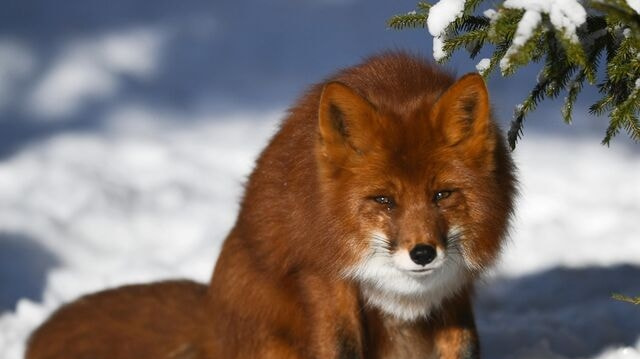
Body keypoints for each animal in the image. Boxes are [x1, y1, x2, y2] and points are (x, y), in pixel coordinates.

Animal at [26, 51, 516, 359]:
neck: (404, 295)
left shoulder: (454, 288)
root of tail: (211, 315)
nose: (422, 253)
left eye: (441, 195)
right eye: (384, 200)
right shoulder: (323, 277)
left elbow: (465, 347)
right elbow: (340, 348)